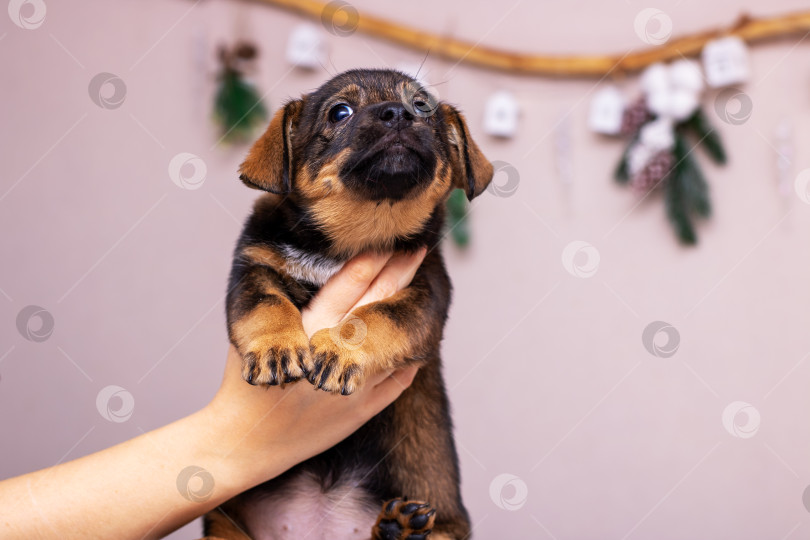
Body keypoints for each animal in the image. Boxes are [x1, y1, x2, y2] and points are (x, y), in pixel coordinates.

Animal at [202, 68, 492, 540]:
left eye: (422, 107)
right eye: (340, 112)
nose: (398, 114)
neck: (356, 237)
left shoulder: (424, 293)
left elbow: (375, 317)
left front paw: (339, 350)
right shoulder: (252, 269)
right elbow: (267, 305)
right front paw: (276, 347)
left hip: (445, 529)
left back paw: (398, 528)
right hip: (222, 523)